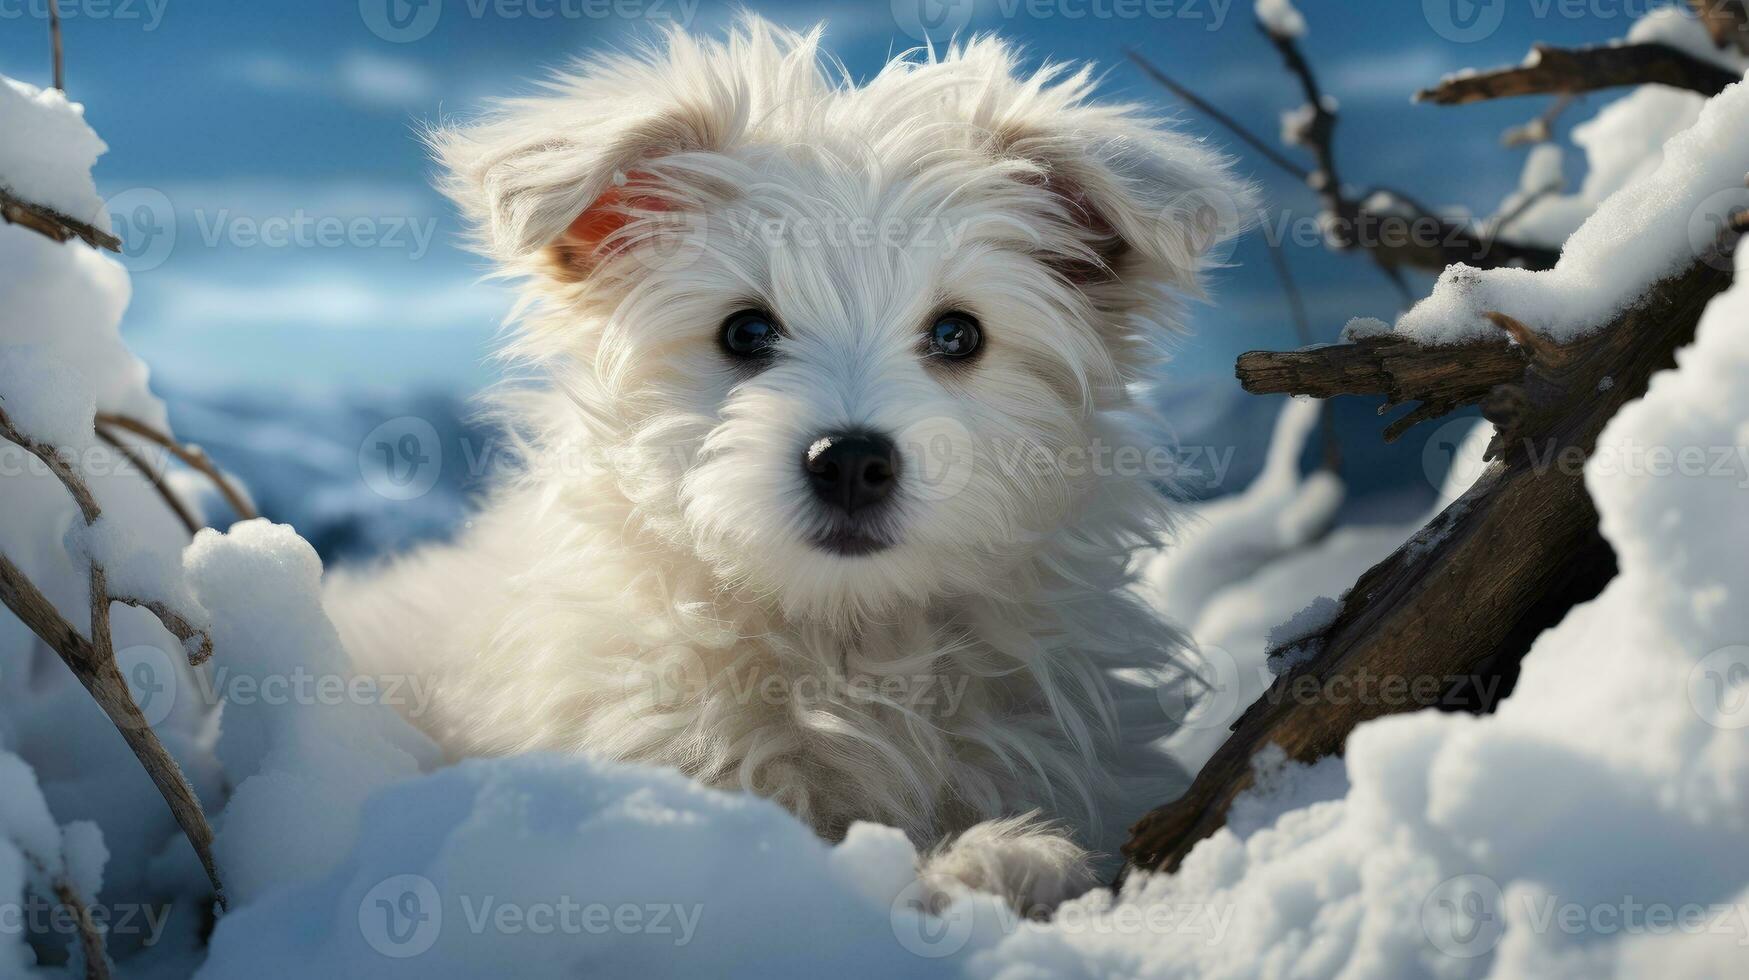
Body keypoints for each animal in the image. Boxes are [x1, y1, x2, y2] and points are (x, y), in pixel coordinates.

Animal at [325, 17, 1245, 917]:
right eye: (744, 331)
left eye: (958, 334)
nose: (850, 462)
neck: (846, 642)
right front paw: (989, 863)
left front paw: (1008, 859)